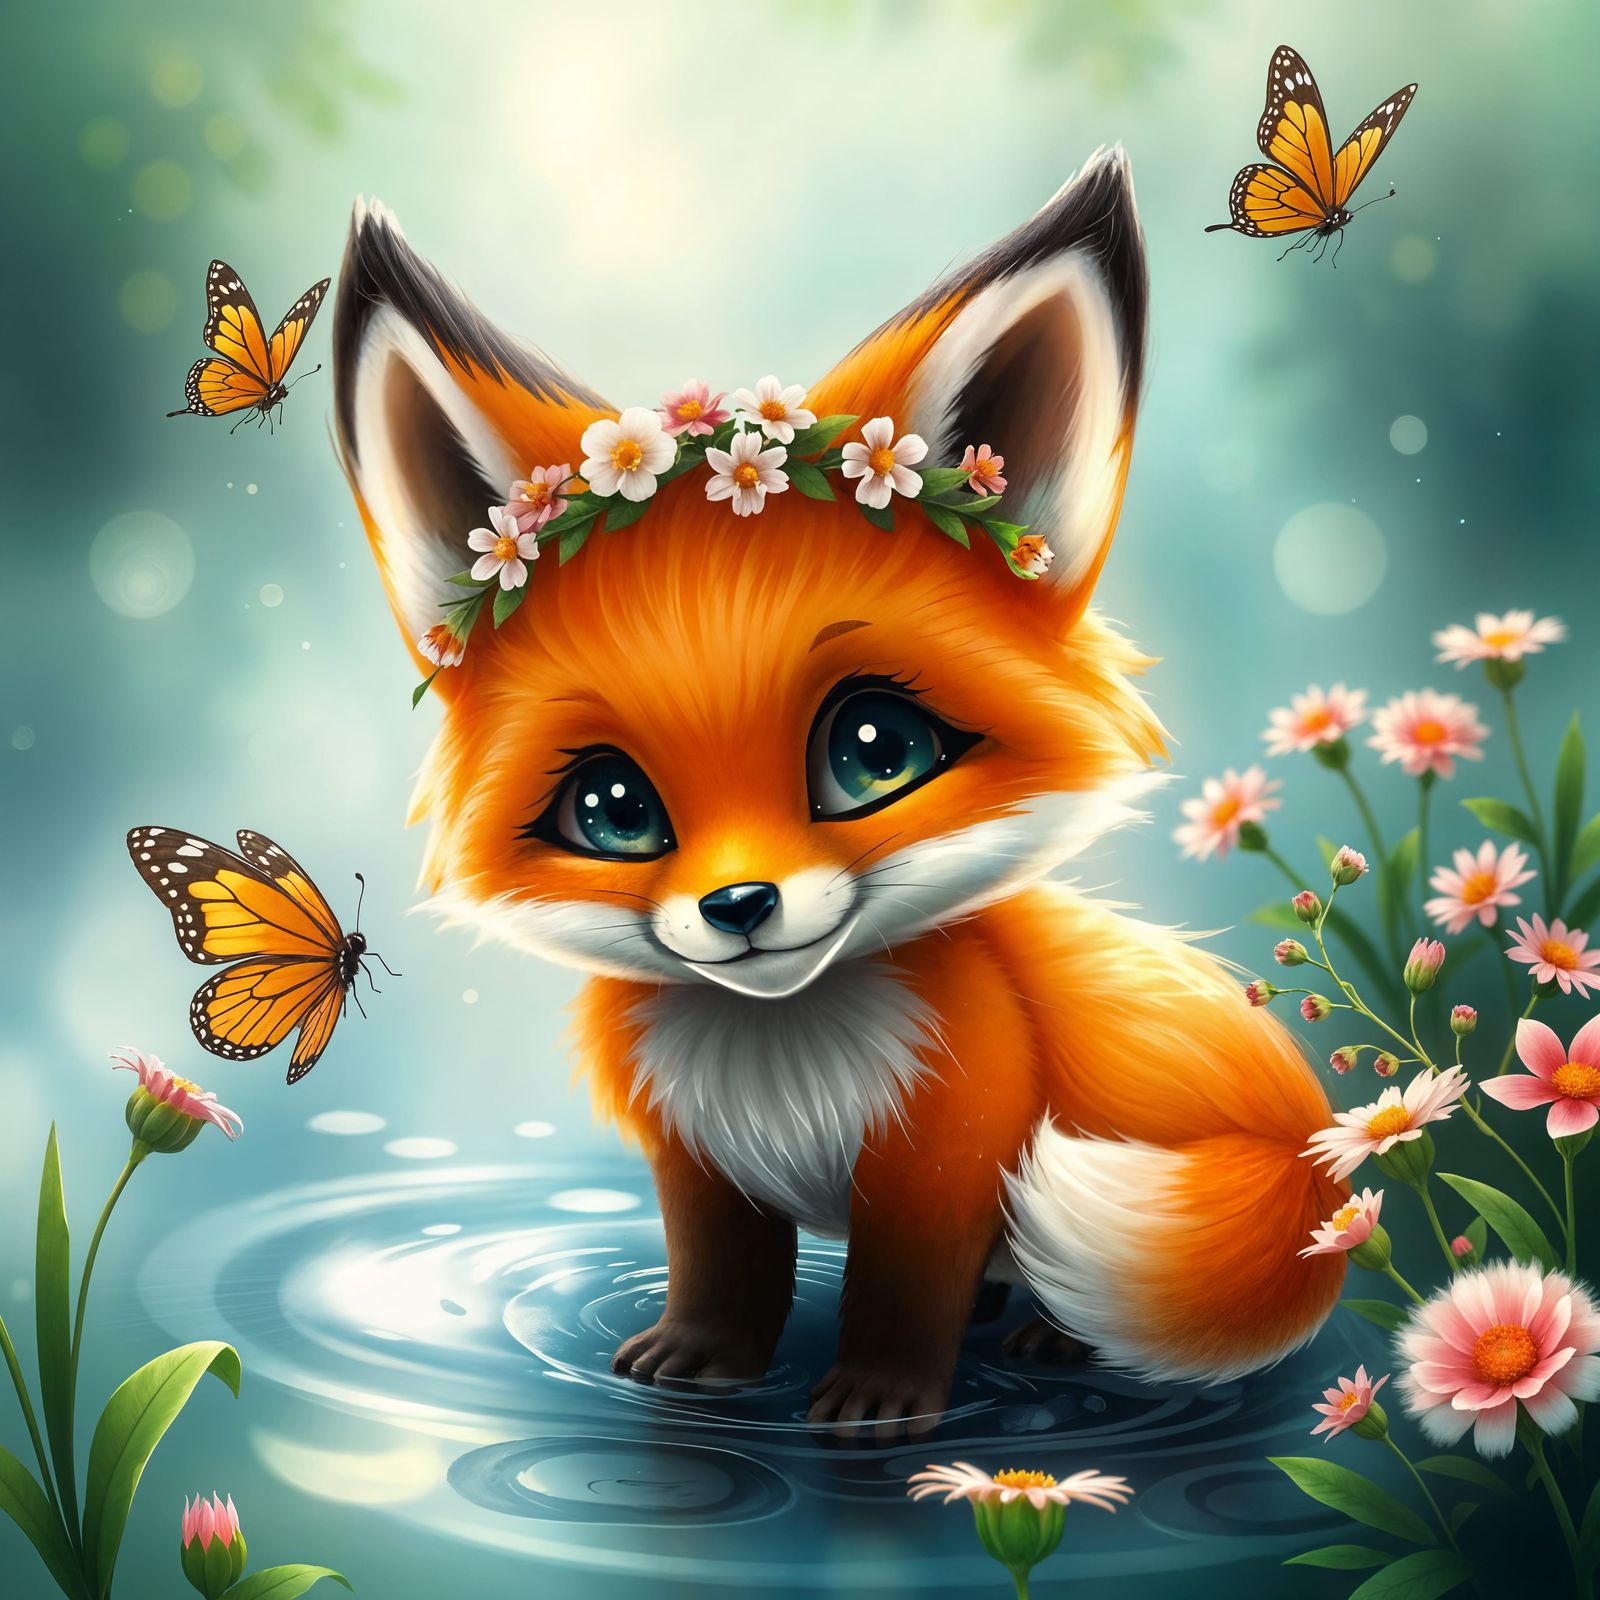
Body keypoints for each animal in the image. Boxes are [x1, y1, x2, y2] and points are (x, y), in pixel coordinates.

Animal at [331, 148, 1348, 1436]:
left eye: (873, 752)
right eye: (612, 811)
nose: (738, 906)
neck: (782, 1066)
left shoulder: (945, 1151)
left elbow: (901, 1288)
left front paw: (882, 1400)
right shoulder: (699, 1162)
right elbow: (722, 1278)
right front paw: (702, 1359)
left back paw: (1050, 1334)